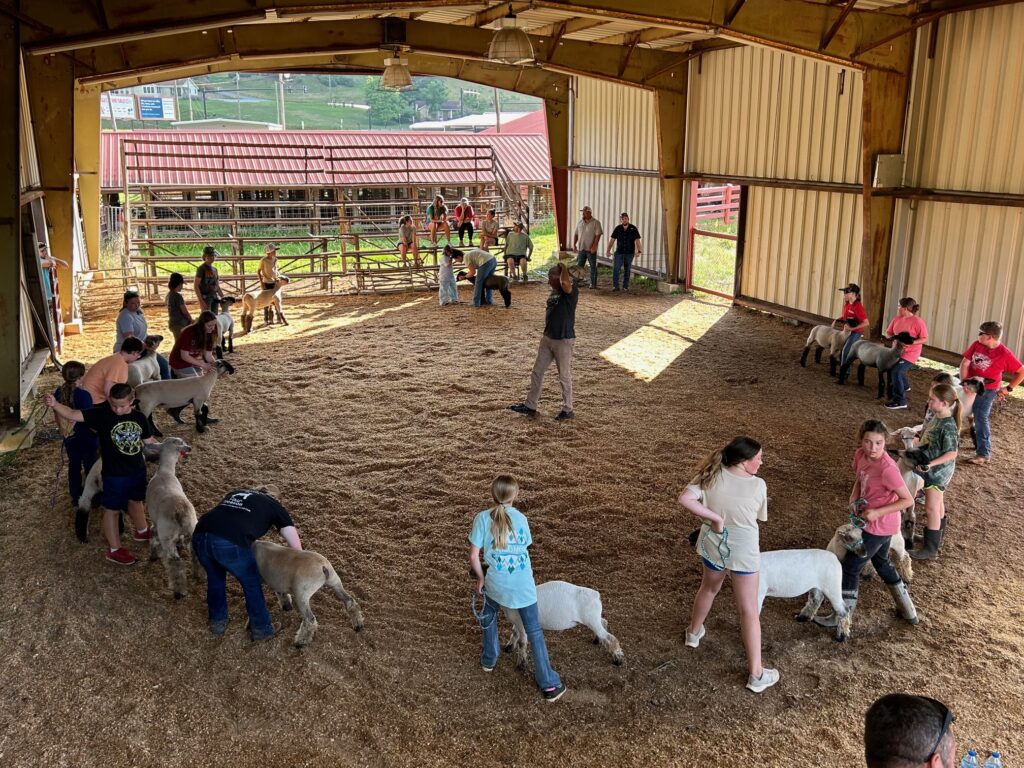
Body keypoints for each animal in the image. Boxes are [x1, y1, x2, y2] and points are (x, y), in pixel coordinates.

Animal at [146, 438, 197, 602]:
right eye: (180, 443)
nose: (189, 448)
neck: (166, 471)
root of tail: (179, 511)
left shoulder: (155, 523)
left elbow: (153, 538)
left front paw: (153, 556)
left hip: (167, 535)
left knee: (176, 564)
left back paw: (178, 592)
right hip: (192, 527)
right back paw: (200, 575)